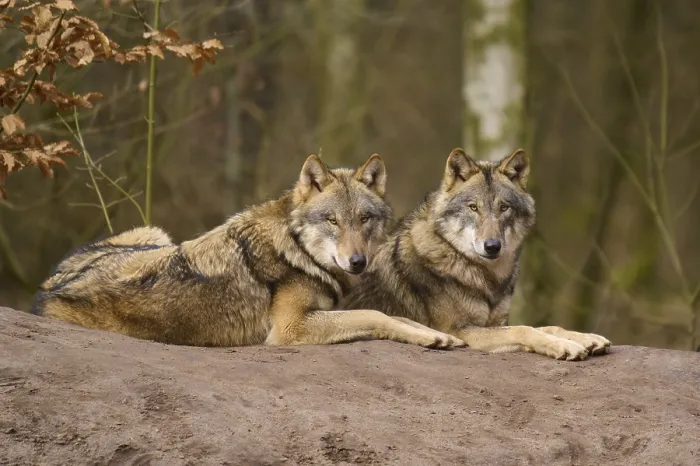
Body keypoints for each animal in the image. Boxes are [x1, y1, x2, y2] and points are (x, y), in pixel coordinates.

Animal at [32, 154, 464, 349]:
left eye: (364, 219)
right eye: (332, 221)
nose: (357, 262)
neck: (297, 250)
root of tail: (46, 290)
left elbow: (396, 314)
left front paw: (440, 335)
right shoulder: (290, 329)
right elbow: (376, 314)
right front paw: (430, 338)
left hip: (157, 233)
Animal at [341, 148, 611, 360]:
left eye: (504, 207)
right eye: (473, 207)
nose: (492, 246)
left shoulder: (498, 323)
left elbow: (548, 326)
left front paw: (586, 338)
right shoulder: (459, 330)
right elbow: (525, 329)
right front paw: (566, 347)